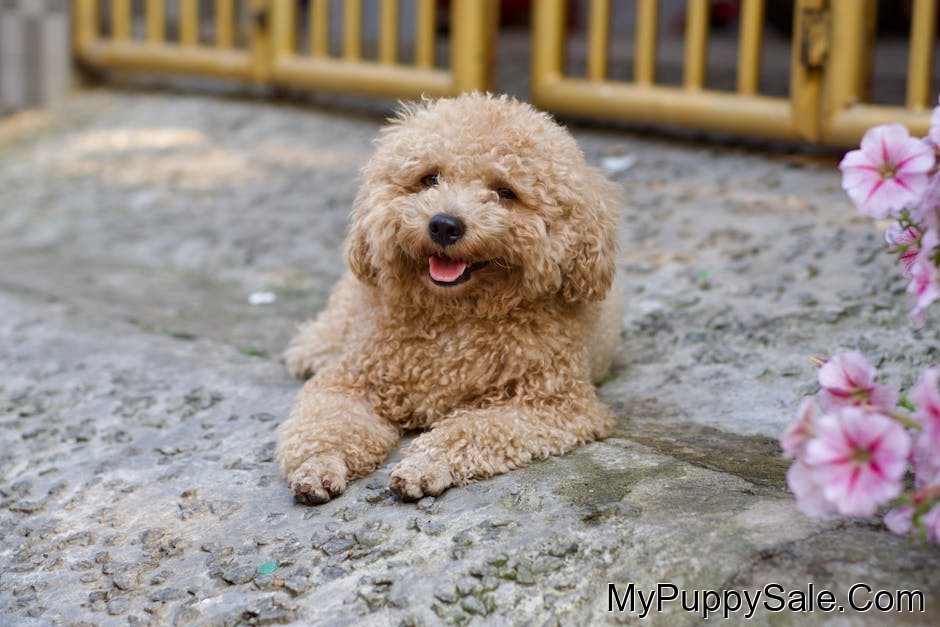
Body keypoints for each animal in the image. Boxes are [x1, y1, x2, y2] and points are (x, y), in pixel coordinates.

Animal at [277, 93, 622, 503]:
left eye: (505, 192)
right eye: (429, 178)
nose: (444, 224)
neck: (455, 315)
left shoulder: (555, 405)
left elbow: (471, 429)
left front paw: (426, 464)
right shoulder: (352, 379)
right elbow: (328, 422)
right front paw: (318, 463)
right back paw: (313, 350)